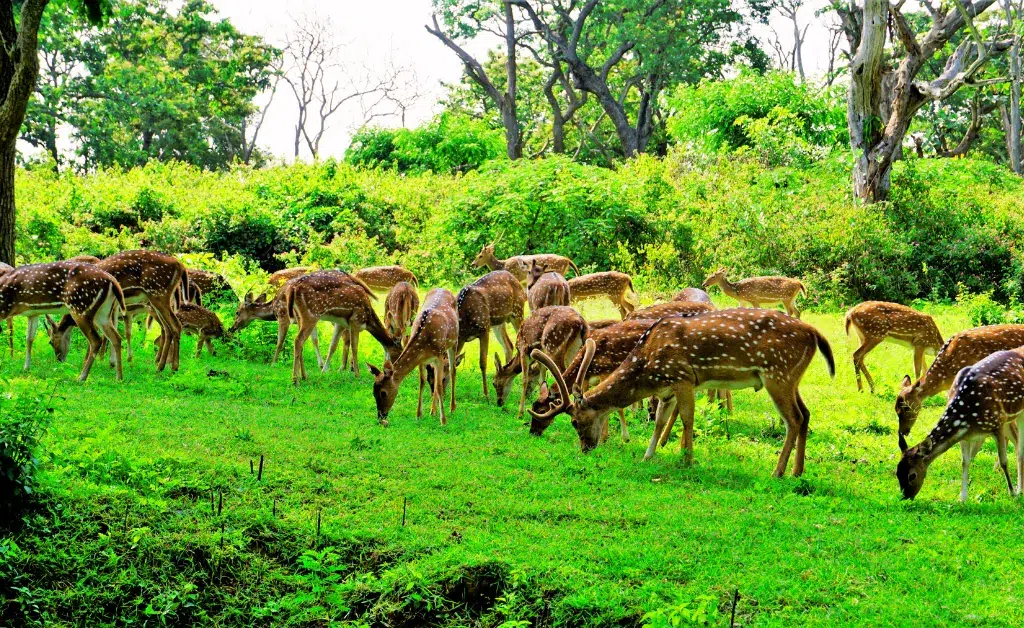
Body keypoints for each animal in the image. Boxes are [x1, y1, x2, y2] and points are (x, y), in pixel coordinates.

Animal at [367, 289, 460, 425]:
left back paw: (452, 408)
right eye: (373, 392)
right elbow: (422, 382)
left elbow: (438, 386)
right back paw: (432, 411)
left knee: (452, 371)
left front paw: (443, 421)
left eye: (383, 393)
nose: (381, 416)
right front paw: (419, 415)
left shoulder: (438, 356)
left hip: (453, 342)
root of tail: (443, 289)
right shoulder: (422, 360)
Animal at [455, 270, 527, 401]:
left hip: (518, 311)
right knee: (508, 345)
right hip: (498, 322)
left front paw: (486, 395)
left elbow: (482, 362)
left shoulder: (484, 329)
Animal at [529, 309, 835, 477]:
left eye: (574, 422)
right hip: (791, 378)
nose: (585, 449)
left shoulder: (683, 377)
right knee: (806, 414)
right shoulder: (667, 388)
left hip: (777, 374)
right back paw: (797, 471)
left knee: (793, 419)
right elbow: (660, 420)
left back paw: (778, 471)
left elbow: (687, 419)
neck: (647, 367)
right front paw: (648, 455)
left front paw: (687, 460)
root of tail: (815, 334)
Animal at [897, 348, 1024, 502]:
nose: (906, 497)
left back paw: (1020, 489)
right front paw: (962, 498)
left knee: (1019, 449)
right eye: (897, 472)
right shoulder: (965, 436)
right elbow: (965, 462)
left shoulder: (998, 424)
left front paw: (1012, 493)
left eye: (912, 475)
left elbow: (1004, 461)